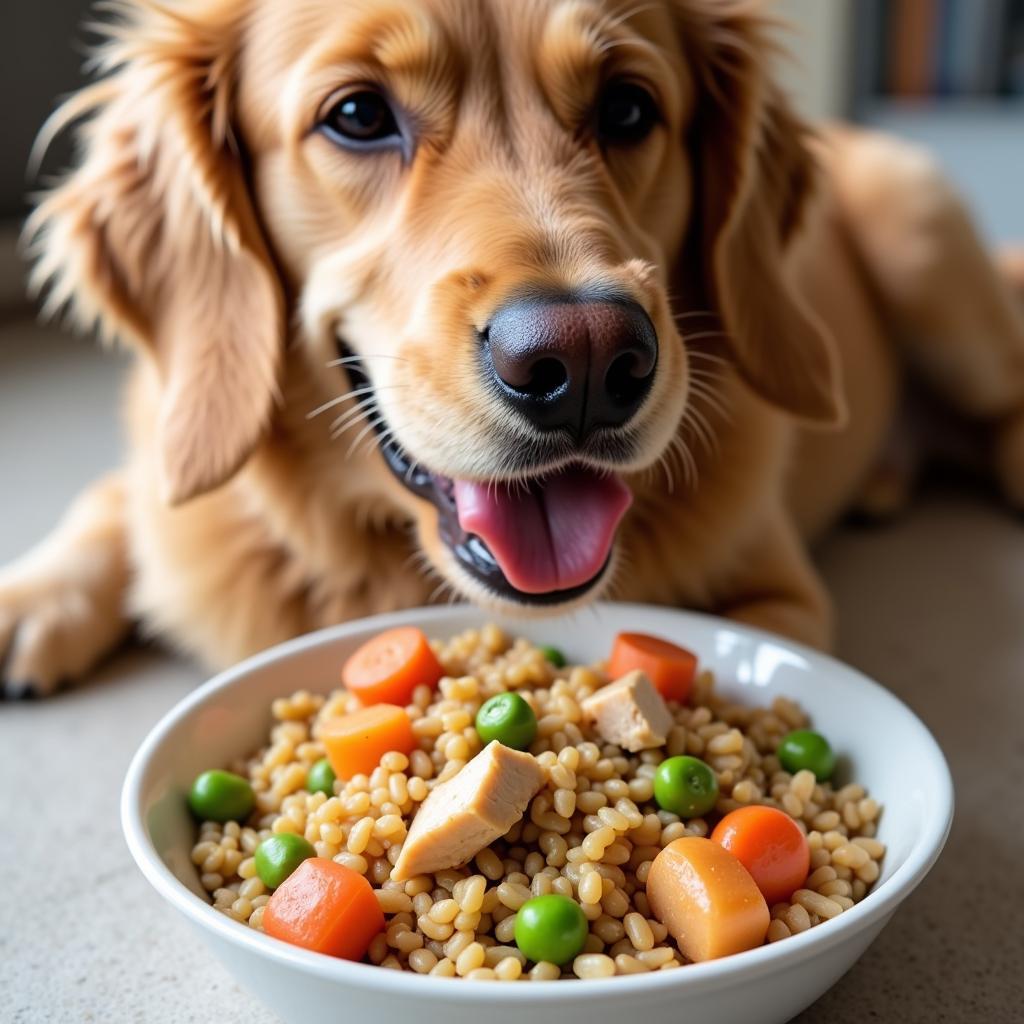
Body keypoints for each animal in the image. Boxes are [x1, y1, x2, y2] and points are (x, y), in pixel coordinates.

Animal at [2, 0, 1024, 696]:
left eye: (627, 110)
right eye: (358, 116)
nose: (586, 365)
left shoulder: (787, 603)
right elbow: (110, 503)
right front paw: (30, 598)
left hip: (922, 236)